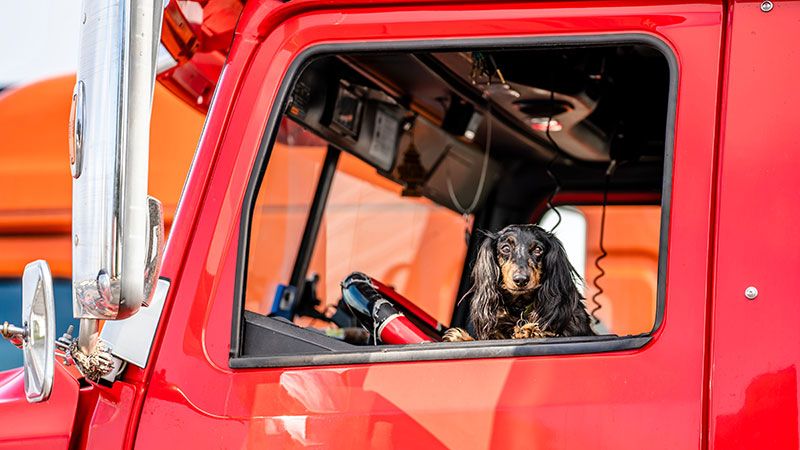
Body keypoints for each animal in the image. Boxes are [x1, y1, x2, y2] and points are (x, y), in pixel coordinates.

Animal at [444, 225, 592, 342]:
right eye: (505, 248)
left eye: (538, 249)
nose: (521, 280)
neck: (520, 307)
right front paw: (461, 337)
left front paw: (530, 331)